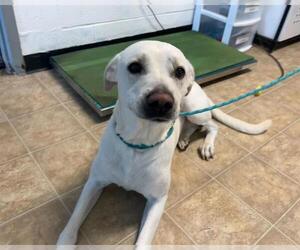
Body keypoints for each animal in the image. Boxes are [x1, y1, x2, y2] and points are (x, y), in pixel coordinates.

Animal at [56, 40, 272, 247]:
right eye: (134, 67)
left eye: (179, 71)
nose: (161, 102)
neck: (138, 142)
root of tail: (199, 87)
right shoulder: (94, 182)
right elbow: (74, 217)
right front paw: (65, 240)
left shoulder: (157, 200)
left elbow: (143, 241)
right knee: (191, 125)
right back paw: (184, 138)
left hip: (194, 108)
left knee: (211, 125)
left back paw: (207, 145)